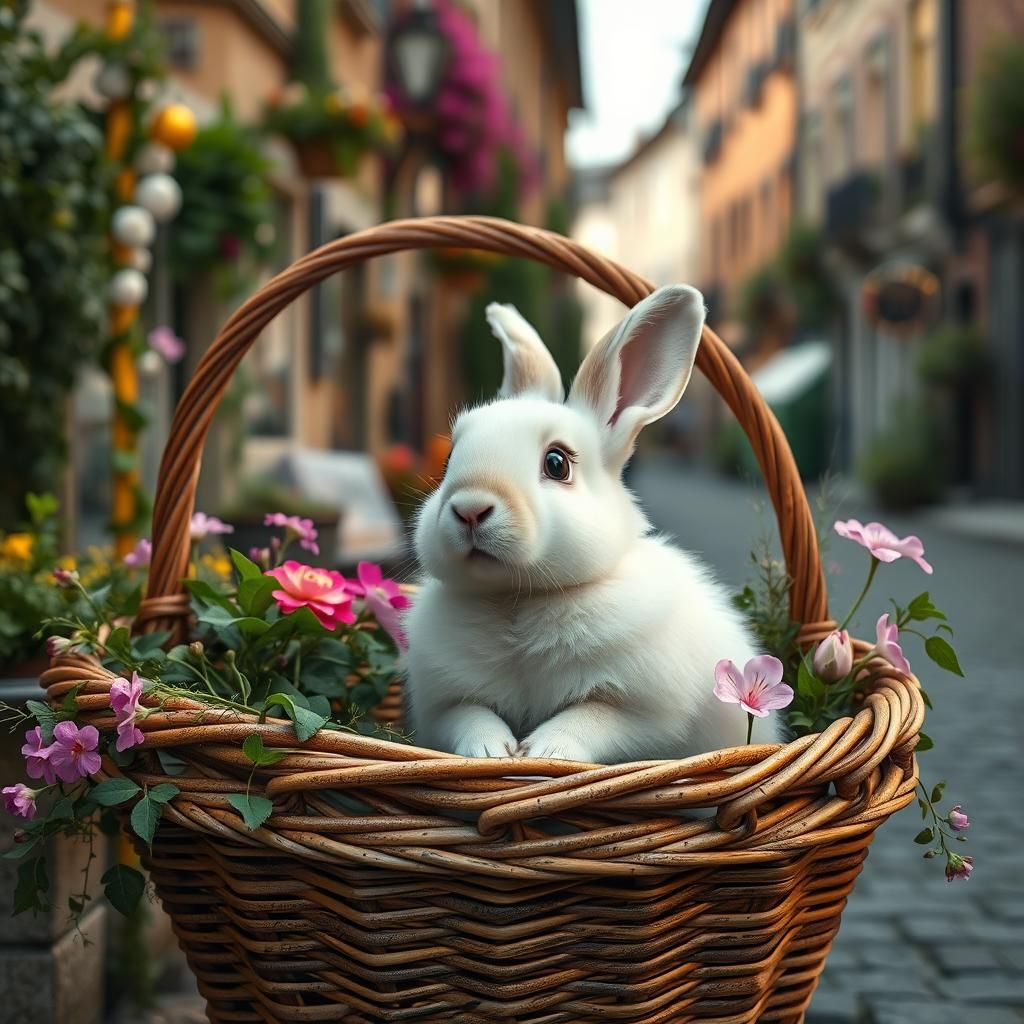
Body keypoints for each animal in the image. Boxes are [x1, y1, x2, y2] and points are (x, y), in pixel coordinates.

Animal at [403, 284, 779, 763]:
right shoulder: (442, 705)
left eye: (557, 463)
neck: (517, 600)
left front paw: (545, 751)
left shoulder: (644, 712)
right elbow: (469, 715)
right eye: (449, 459)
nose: (470, 507)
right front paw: (491, 752)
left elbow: (591, 718)